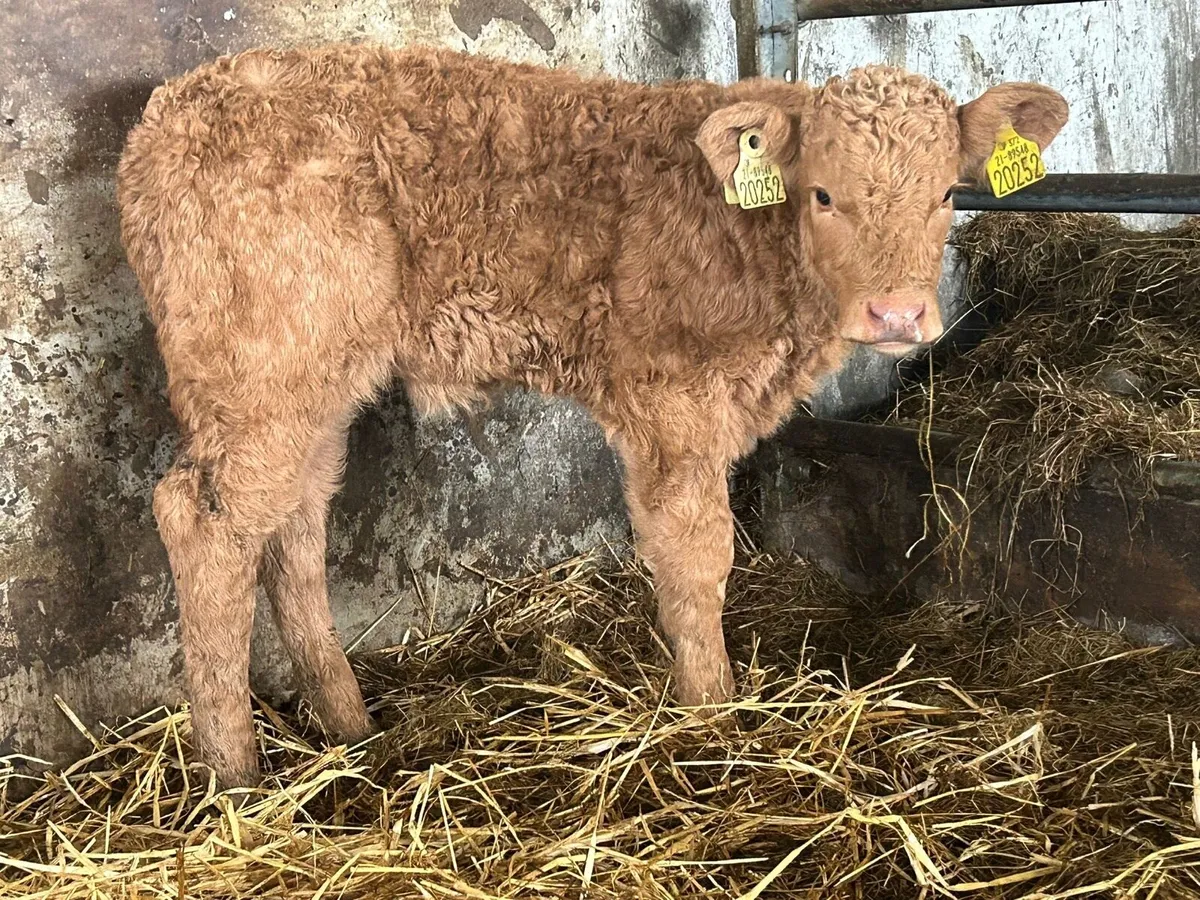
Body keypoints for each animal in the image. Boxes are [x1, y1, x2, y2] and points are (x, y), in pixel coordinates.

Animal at [116, 43, 1068, 787]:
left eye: (948, 193)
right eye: (825, 195)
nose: (898, 315)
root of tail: (171, 110)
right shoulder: (671, 400)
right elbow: (696, 555)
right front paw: (714, 718)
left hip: (319, 380)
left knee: (295, 527)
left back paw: (350, 729)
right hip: (260, 371)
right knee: (204, 523)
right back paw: (236, 776)